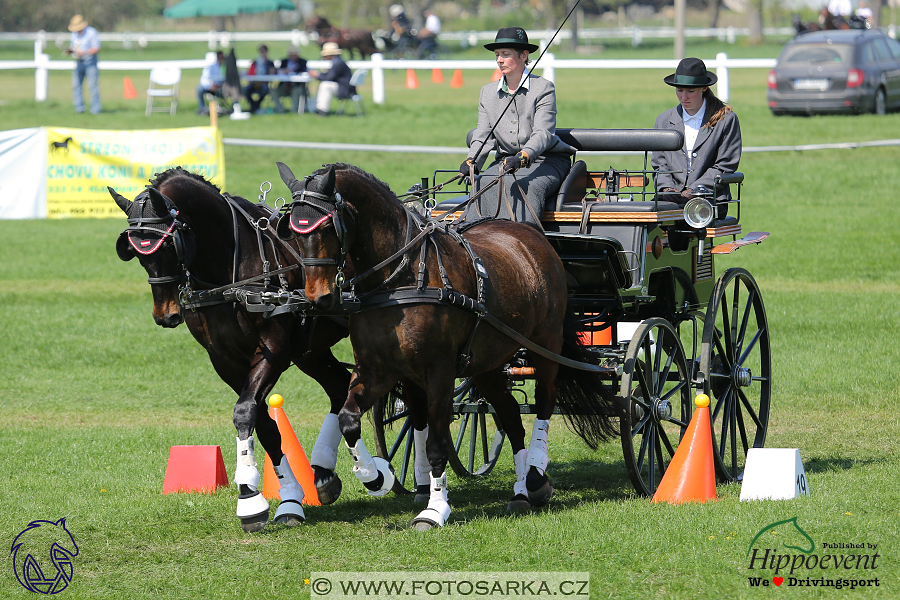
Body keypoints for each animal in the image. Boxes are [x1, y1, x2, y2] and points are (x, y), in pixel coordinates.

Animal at [109, 166, 352, 532]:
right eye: (136, 253)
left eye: (168, 247)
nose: (165, 315)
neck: (229, 277)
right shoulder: (224, 360)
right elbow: (263, 423)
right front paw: (288, 498)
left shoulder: (274, 347)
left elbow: (245, 412)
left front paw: (249, 498)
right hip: (311, 351)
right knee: (341, 385)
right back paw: (325, 475)